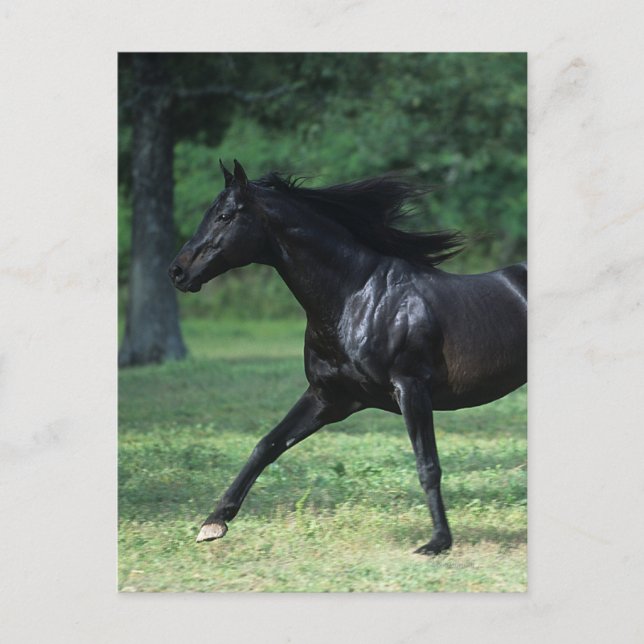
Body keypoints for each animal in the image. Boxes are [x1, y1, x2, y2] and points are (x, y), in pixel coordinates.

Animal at [169, 159, 527, 555]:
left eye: (225, 215)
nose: (177, 271)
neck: (355, 298)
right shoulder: (330, 397)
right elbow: (267, 445)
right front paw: (213, 523)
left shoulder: (411, 388)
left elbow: (428, 465)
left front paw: (437, 542)